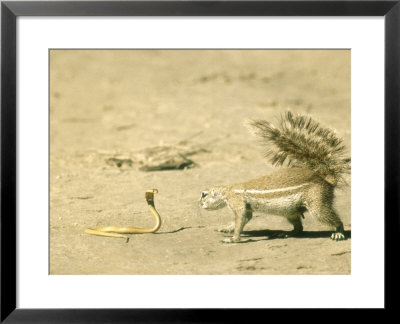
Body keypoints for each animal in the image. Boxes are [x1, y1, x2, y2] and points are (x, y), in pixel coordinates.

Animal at [200, 111, 350, 243]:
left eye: (204, 194)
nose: (199, 204)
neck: (228, 191)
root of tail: (326, 180)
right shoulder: (246, 208)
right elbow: (244, 219)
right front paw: (226, 228)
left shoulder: (237, 202)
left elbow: (240, 220)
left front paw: (232, 239)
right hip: (290, 212)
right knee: (299, 228)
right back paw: (285, 233)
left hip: (317, 204)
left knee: (333, 219)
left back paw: (338, 233)